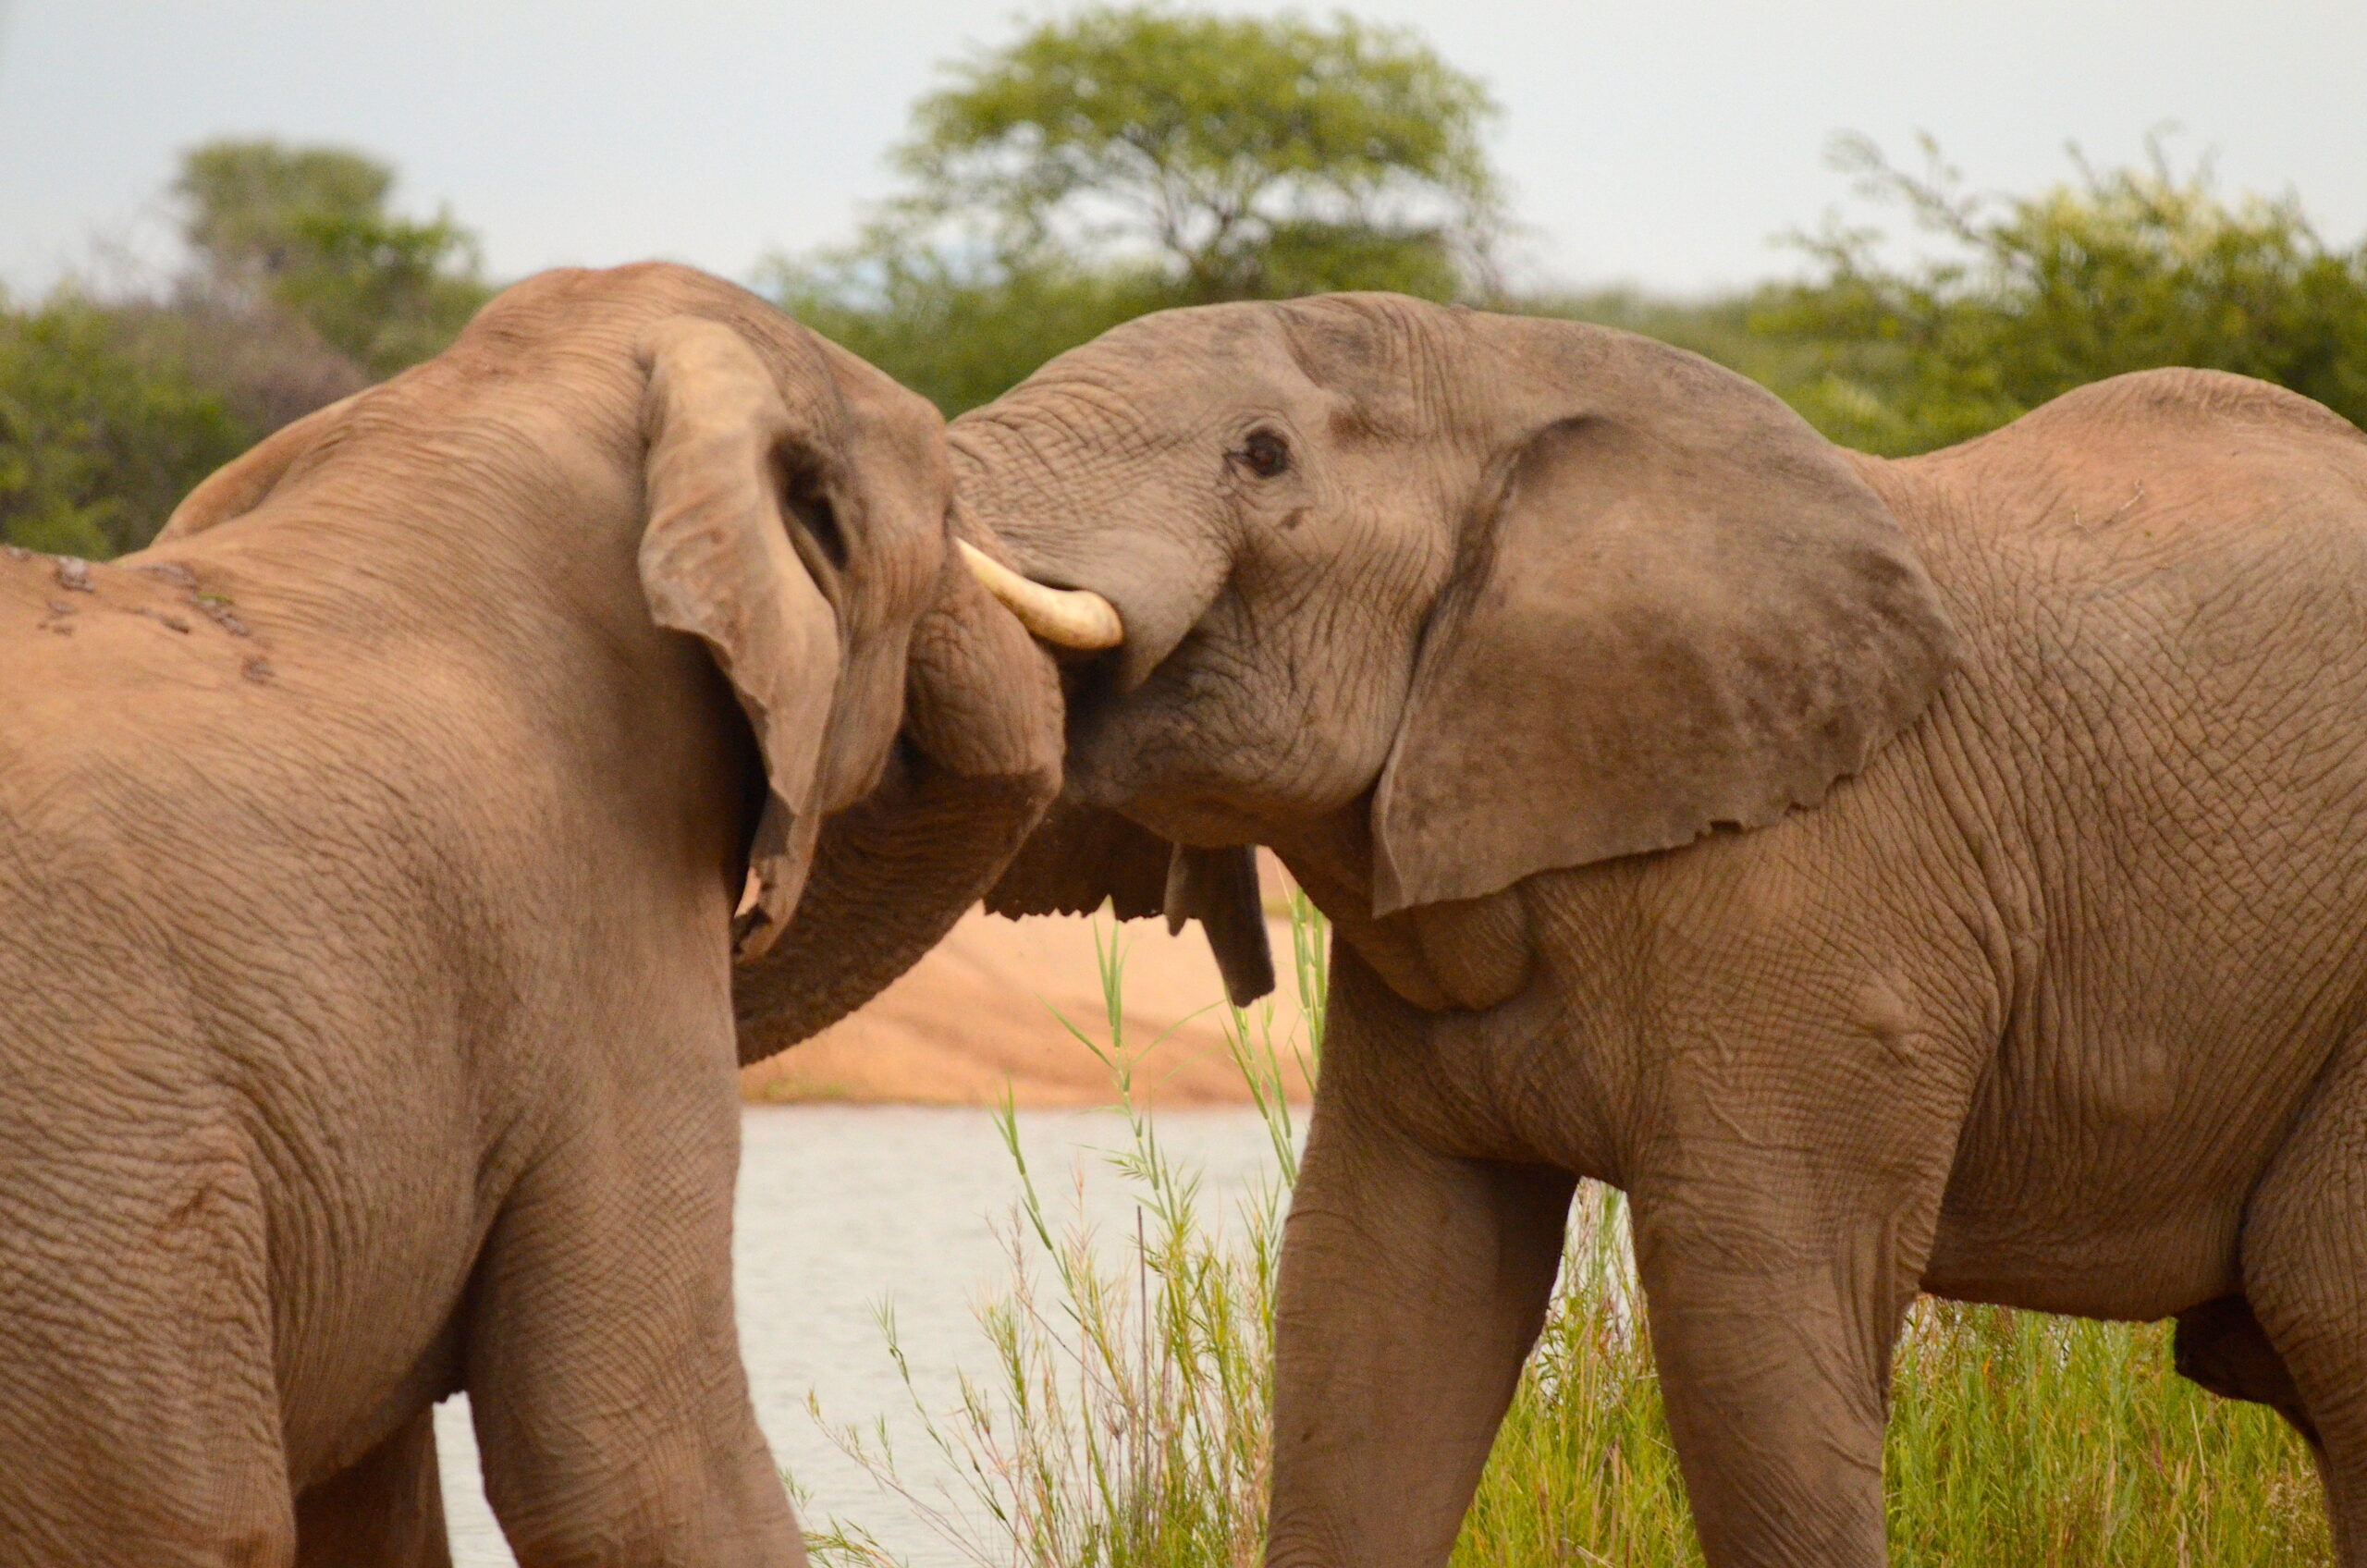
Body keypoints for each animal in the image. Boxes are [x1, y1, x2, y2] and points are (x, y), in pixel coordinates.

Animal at [947, 291, 2367, 1562]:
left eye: (1262, 453)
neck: (1499, 360)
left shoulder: (1822, 896)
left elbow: (1750, 1312)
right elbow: (1381, 1286)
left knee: (2324, 1305)